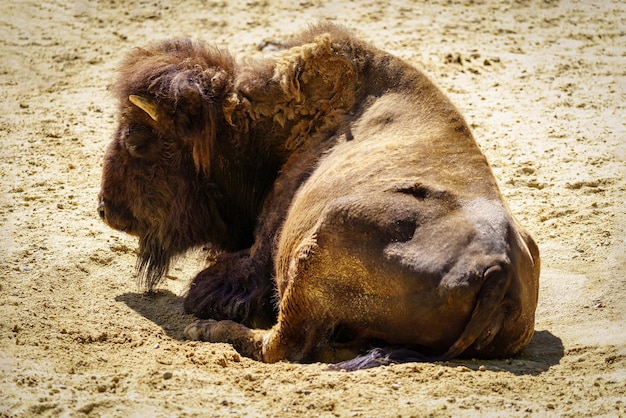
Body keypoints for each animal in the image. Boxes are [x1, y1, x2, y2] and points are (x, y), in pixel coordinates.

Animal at [98, 23, 536, 370]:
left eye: (136, 139)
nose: (105, 209)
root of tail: (496, 267)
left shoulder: (269, 236)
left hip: (318, 243)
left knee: (279, 346)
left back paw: (203, 329)